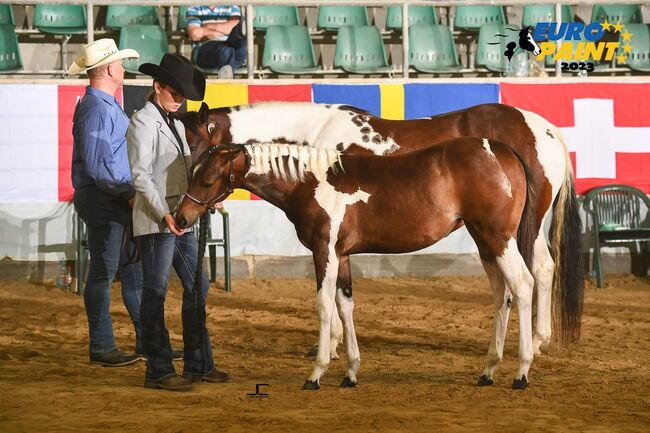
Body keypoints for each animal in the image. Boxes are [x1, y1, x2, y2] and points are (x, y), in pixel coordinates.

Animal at [180, 102, 584, 358]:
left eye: (196, 143)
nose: (181, 211)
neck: (313, 136)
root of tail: (547, 130)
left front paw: (331, 344)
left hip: (522, 227)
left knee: (538, 271)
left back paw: (537, 340)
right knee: (538, 271)